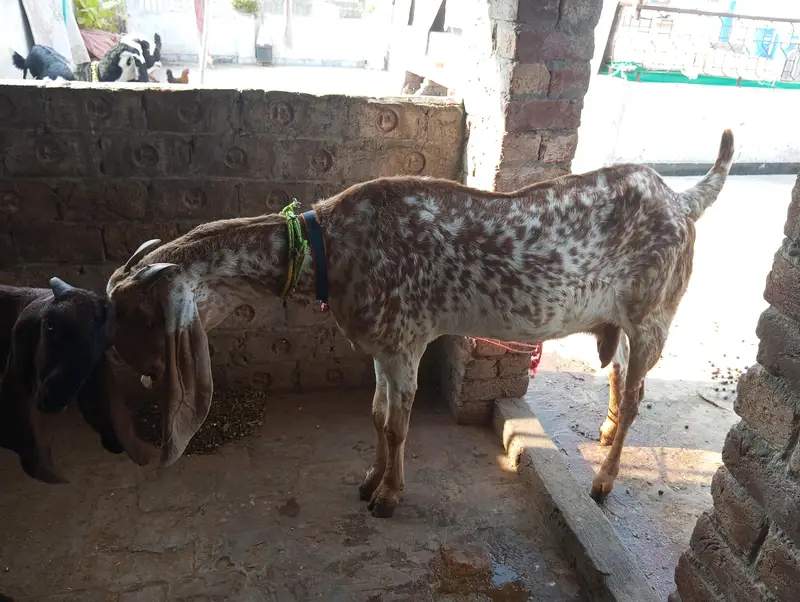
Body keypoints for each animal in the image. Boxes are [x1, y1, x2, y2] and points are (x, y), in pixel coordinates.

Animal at [105, 130, 735, 518]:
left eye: (138, 314)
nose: (129, 367)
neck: (331, 247)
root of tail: (682, 200)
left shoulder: (406, 343)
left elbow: (398, 424)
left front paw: (388, 497)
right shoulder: (382, 349)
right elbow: (377, 416)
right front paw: (370, 479)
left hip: (655, 315)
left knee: (636, 397)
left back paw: (604, 481)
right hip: (623, 320)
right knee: (622, 376)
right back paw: (603, 434)